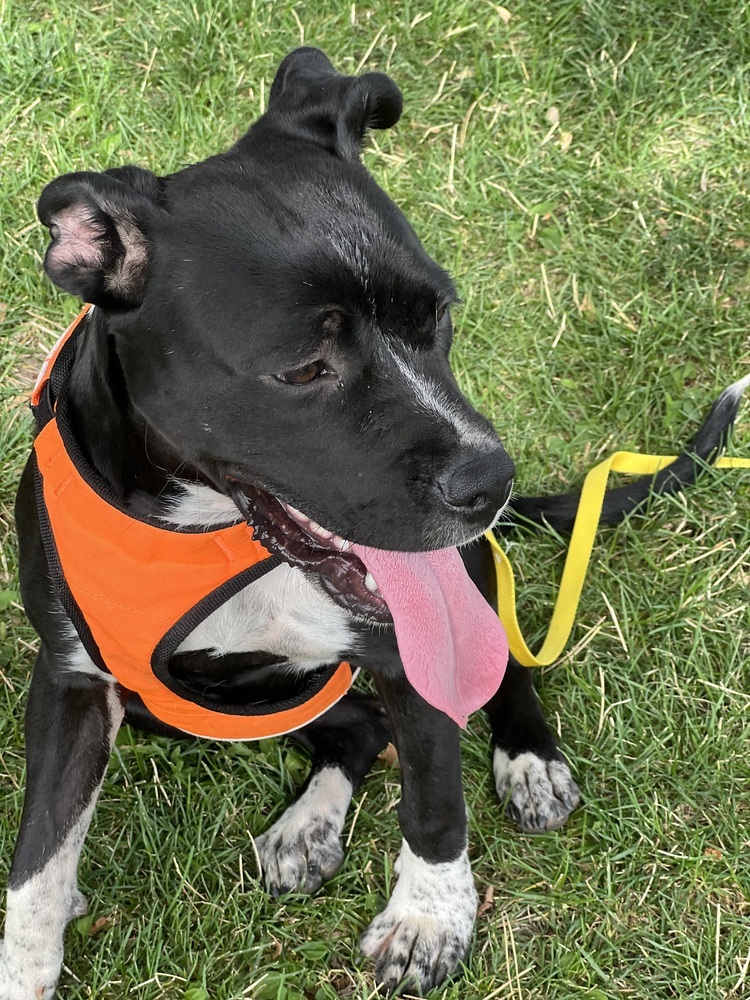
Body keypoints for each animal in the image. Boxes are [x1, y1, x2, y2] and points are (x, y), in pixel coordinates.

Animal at [2, 48, 748, 1000]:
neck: (212, 529)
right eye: (302, 369)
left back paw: (527, 760)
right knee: (355, 728)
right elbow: (38, 859)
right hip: (171, 703)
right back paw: (307, 826)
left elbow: (434, 799)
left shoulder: (409, 649)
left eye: (439, 314)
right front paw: (25, 962)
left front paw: (429, 919)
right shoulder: (73, 683)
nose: (491, 482)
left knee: (496, 672)